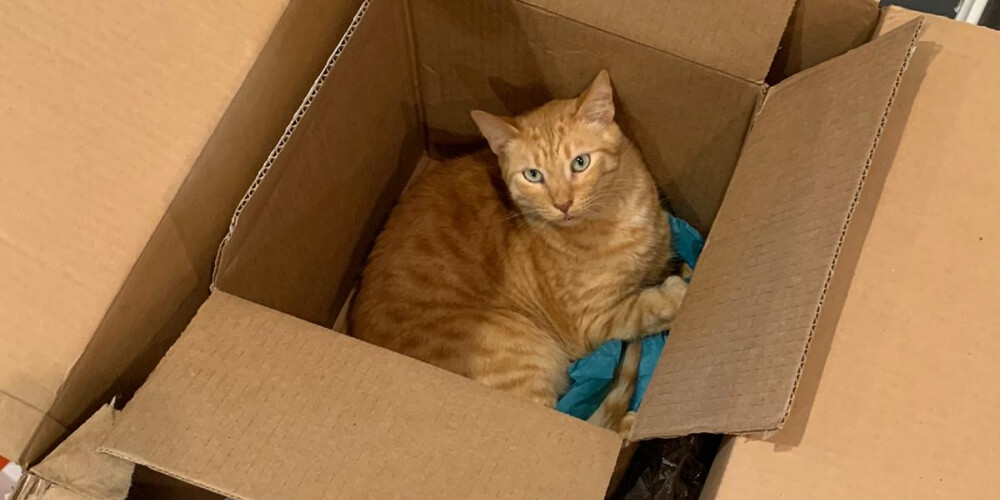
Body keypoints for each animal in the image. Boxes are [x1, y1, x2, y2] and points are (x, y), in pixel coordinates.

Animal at [352, 70, 688, 434]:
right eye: (533, 175)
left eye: (580, 162)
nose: (563, 204)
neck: (616, 215)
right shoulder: (590, 324)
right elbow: (641, 311)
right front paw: (678, 296)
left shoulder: (660, 253)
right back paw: (626, 423)